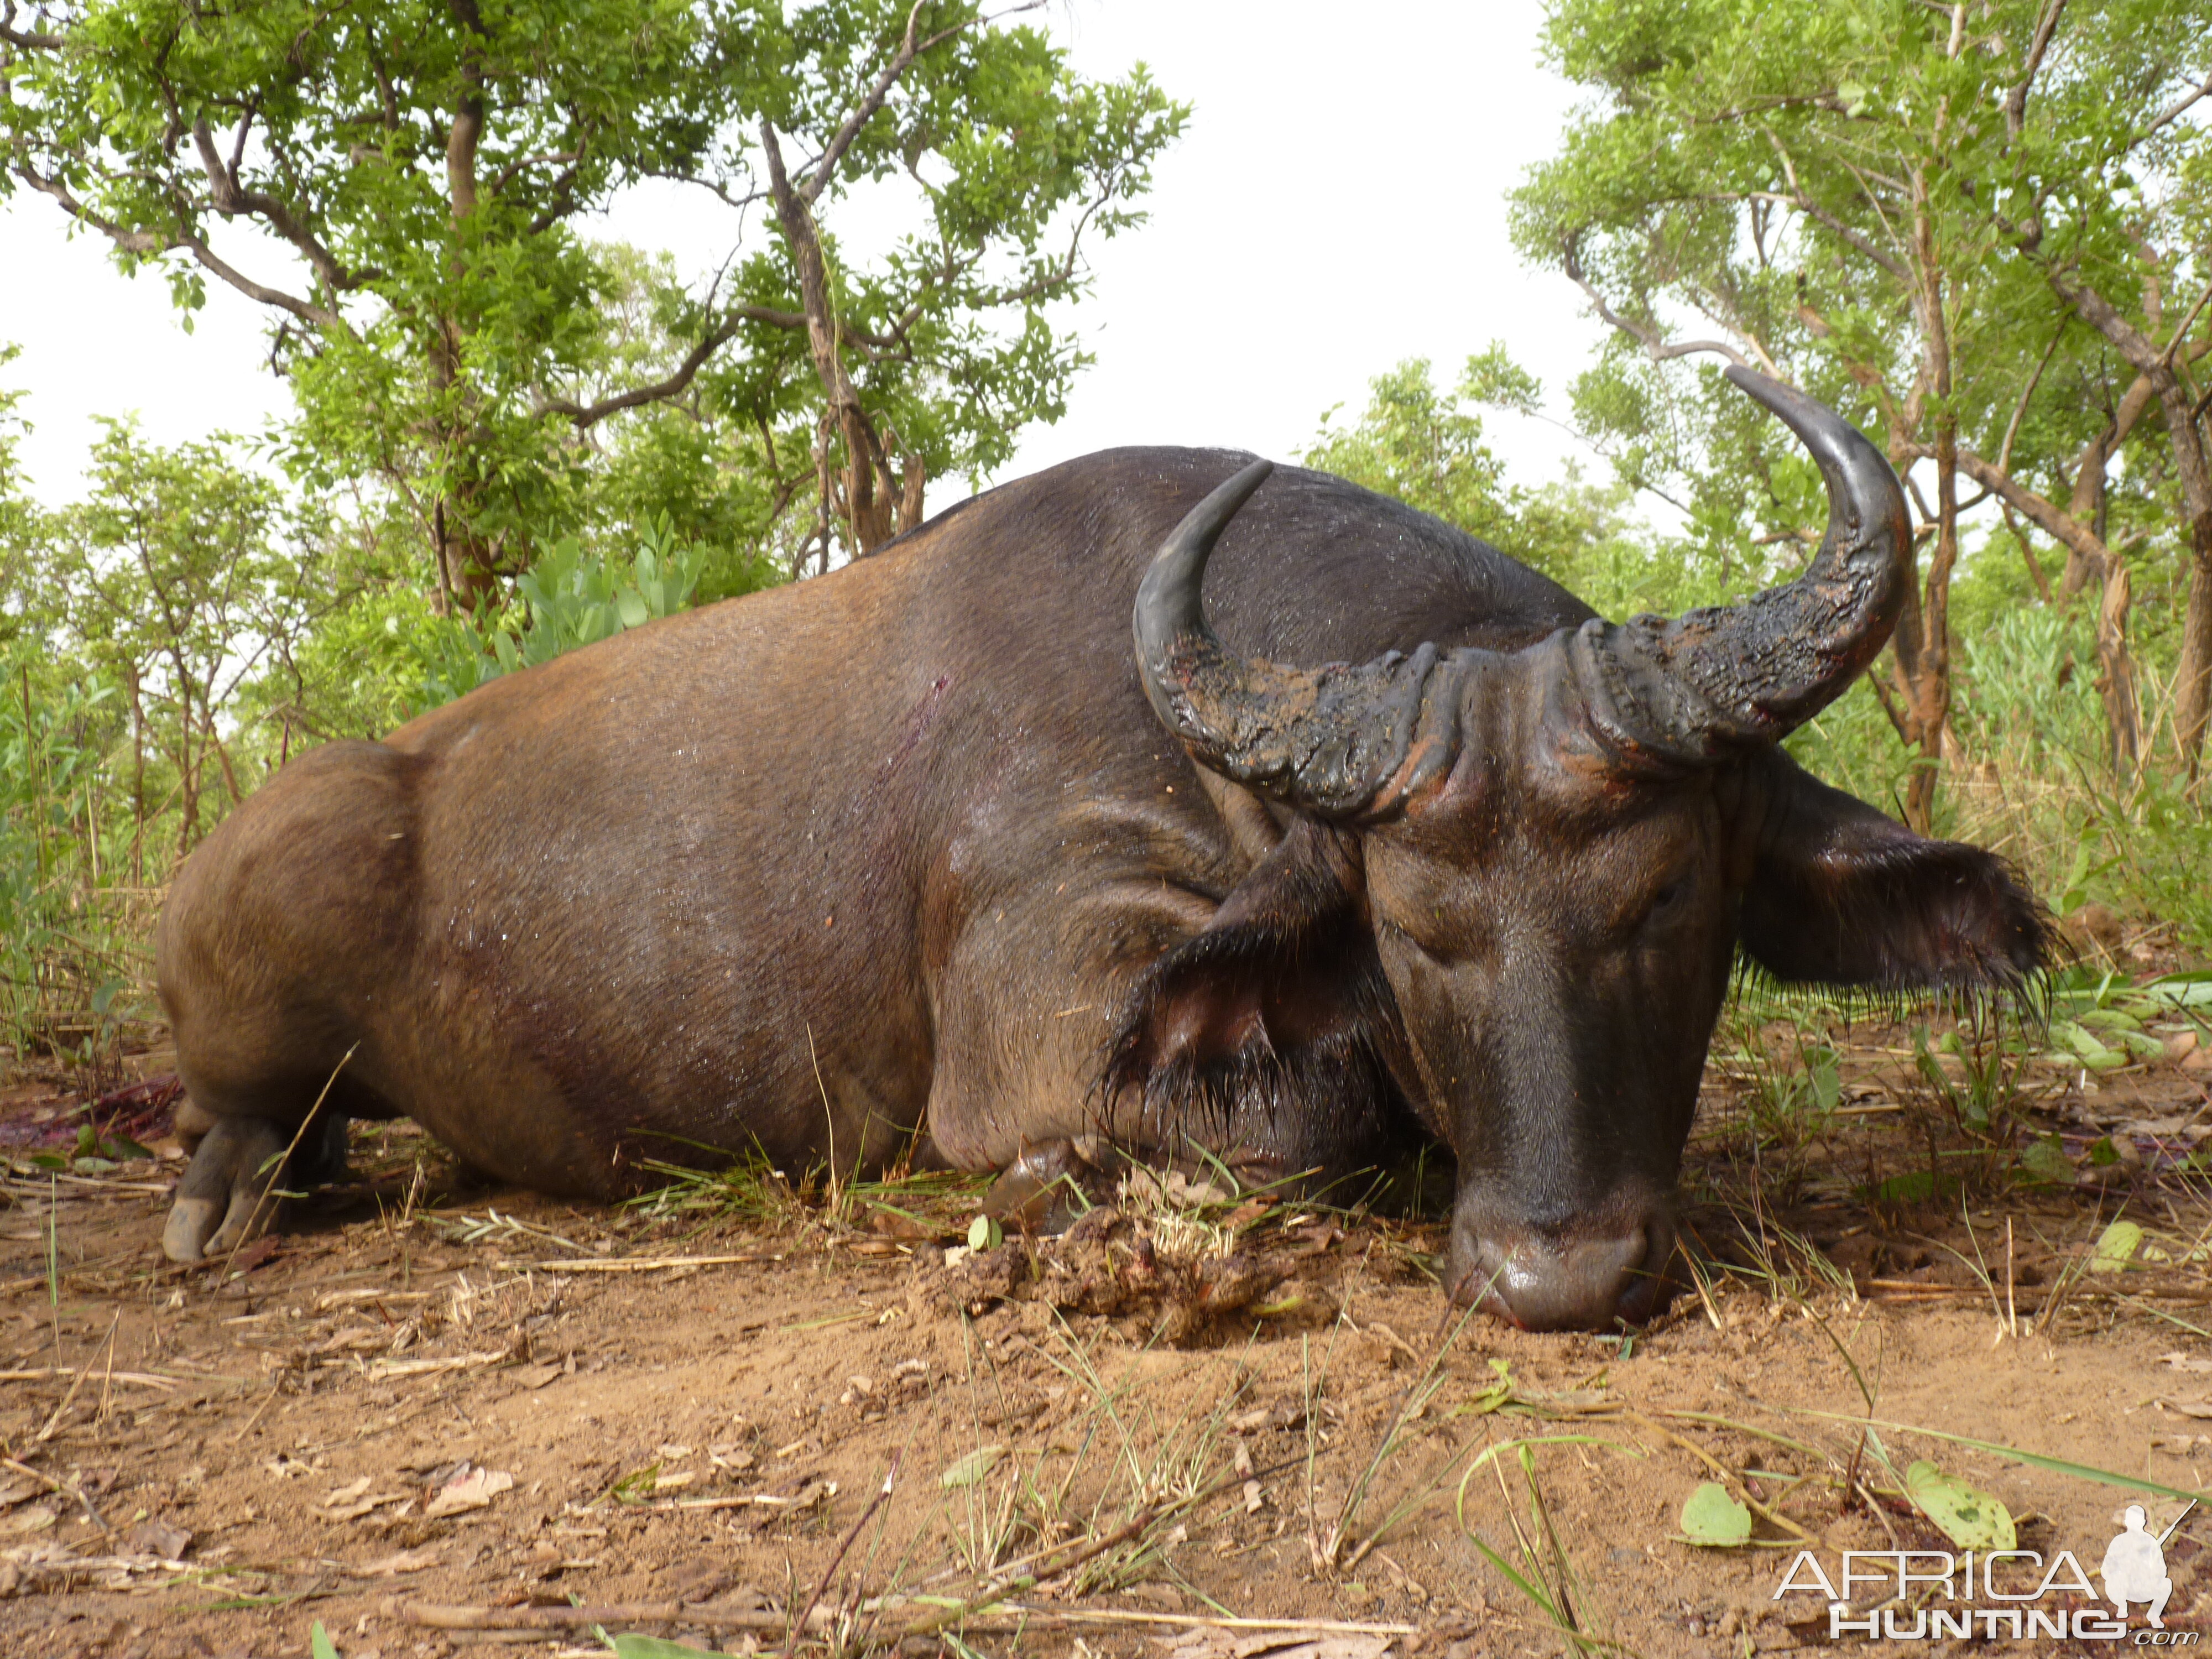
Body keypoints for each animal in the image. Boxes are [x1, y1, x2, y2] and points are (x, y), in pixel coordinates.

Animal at [156, 369, 2044, 1336]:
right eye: (1411, 929)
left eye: (1668, 900)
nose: (1554, 1272)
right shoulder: (1054, 1010)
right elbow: (1297, 1114)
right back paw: (222, 1200)